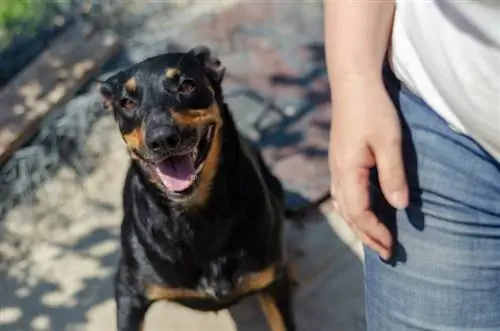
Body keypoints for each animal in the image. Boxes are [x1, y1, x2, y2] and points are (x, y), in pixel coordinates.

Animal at [99, 47, 298, 331]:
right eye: (126, 102)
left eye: (187, 85)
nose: (162, 139)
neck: (193, 216)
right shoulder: (129, 291)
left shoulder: (273, 285)